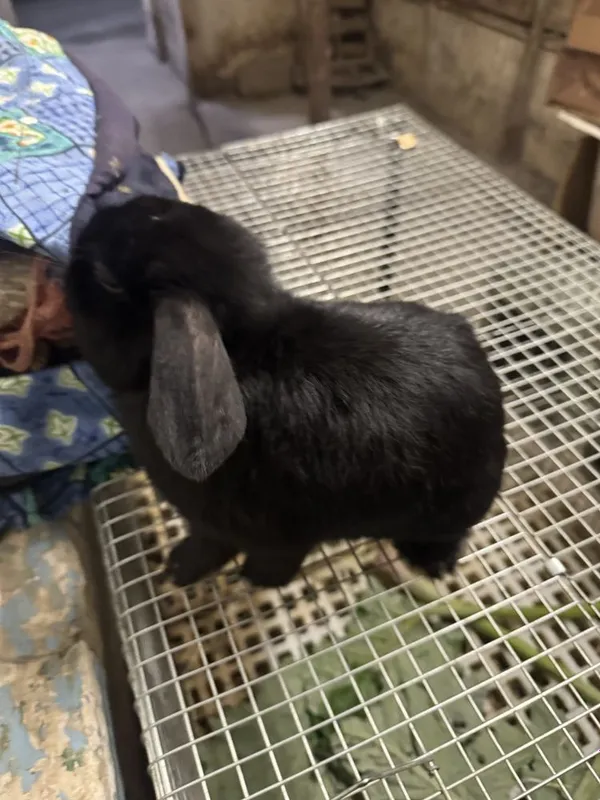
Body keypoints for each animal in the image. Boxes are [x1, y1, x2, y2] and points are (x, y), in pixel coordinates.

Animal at [65, 195, 506, 589]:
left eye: (107, 279)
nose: (84, 226)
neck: (244, 346)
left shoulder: (265, 535)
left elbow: (244, 557)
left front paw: (224, 577)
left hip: (446, 513)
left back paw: (434, 565)